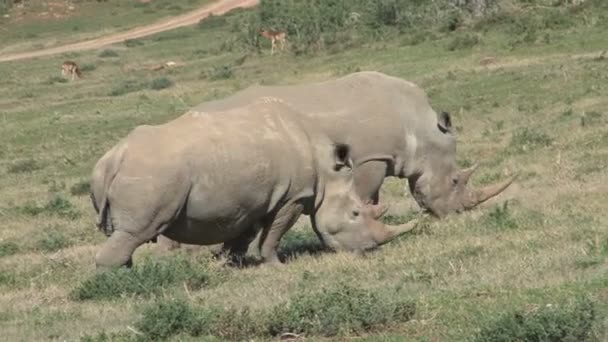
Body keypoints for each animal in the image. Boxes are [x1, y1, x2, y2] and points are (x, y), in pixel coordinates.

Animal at [89, 99, 414, 268]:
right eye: (355, 214)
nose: (368, 251)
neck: (326, 171)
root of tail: (113, 159)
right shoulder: (293, 197)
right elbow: (272, 236)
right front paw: (276, 266)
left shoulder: (253, 200)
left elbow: (242, 236)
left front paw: (227, 263)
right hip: (152, 174)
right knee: (136, 233)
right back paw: (120, 283)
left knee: (128, 234)